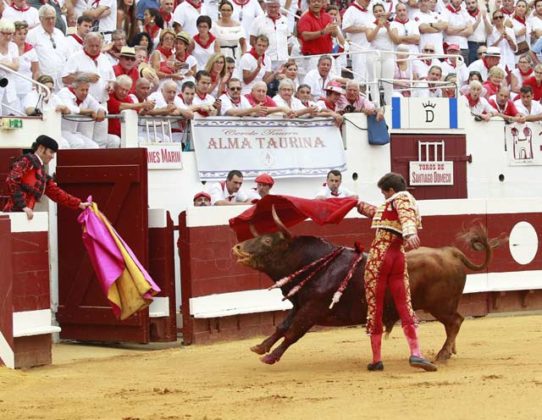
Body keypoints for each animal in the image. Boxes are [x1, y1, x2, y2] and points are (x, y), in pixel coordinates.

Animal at [233, 212, 498, 366]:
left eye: (268, 241)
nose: (237, 247)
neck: (318, 264)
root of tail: (450, 252)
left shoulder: (312, 309)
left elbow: (293, 333)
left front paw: (271, 357)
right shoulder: (299, 305)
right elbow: (282, 326)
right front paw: (260, 346)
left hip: (440, 305)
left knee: (455, 322)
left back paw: (442, 355)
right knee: (453, 323)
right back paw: (449, 351)